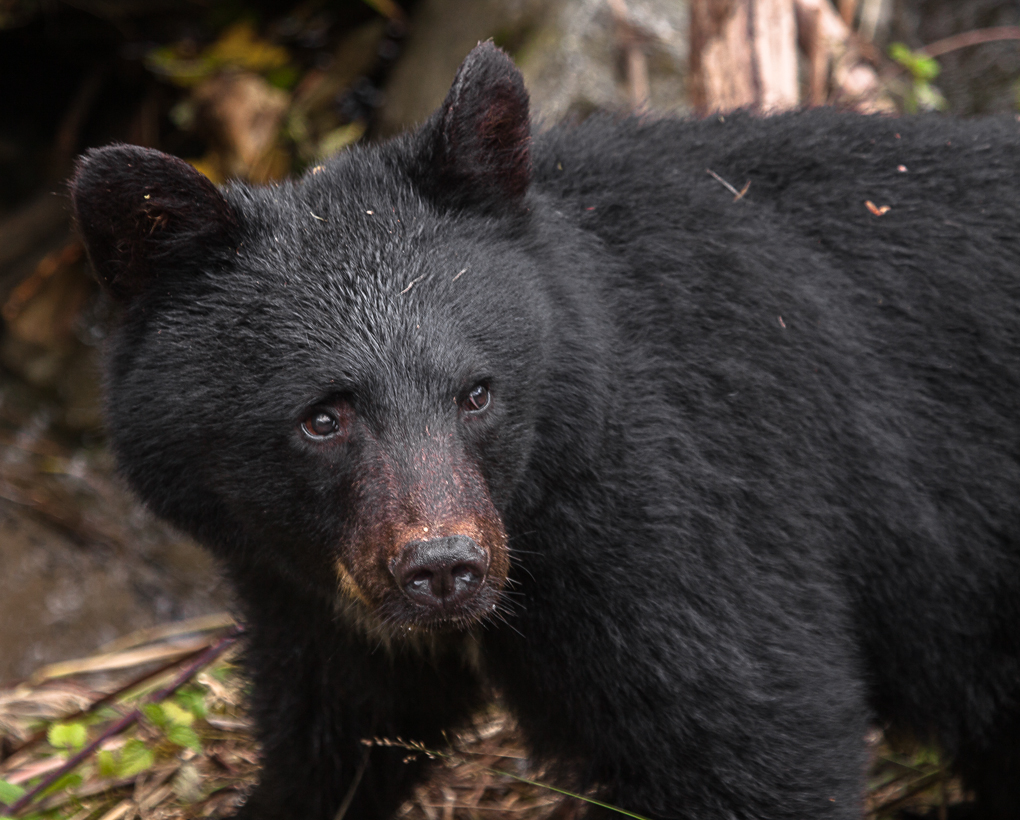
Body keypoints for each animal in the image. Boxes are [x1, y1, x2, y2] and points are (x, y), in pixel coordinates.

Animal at [71, 43, 1020, 819]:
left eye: (476, 393)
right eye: (323, 417)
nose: (443, 570)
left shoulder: (686, 517)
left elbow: (755, 731)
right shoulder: (313, 600)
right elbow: (331, 739)